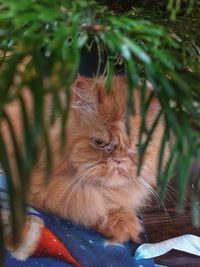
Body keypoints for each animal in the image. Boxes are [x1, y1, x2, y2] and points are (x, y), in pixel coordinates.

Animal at [1, 74, 164, 244]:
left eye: (137, 146)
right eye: (100, 142)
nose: (119, 160)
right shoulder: (45, 189)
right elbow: (89, 209)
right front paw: (123, 225)